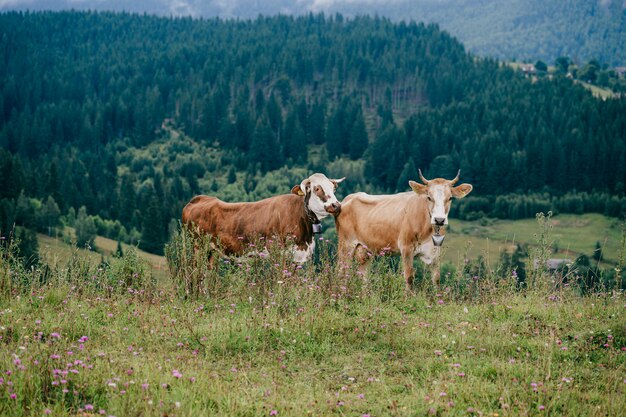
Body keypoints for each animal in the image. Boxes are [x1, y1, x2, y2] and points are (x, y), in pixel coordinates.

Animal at [180, 172, 346, 264]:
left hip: (212, 252)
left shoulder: (298, 257)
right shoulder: (280, 255)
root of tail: (199, 199)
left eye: (333, 188)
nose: (336, 205)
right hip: (198, 248)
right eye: (317, 188)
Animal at [334, 171, 470, 288]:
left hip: (364, 250)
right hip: (346, 245)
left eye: (450, 198)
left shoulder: (435, 251)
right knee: (341, 273)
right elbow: (409, 278)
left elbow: (436, 279)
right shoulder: (406, 248)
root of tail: (348, 198)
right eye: (429, 197)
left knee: (363, 276)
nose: (439, 220)